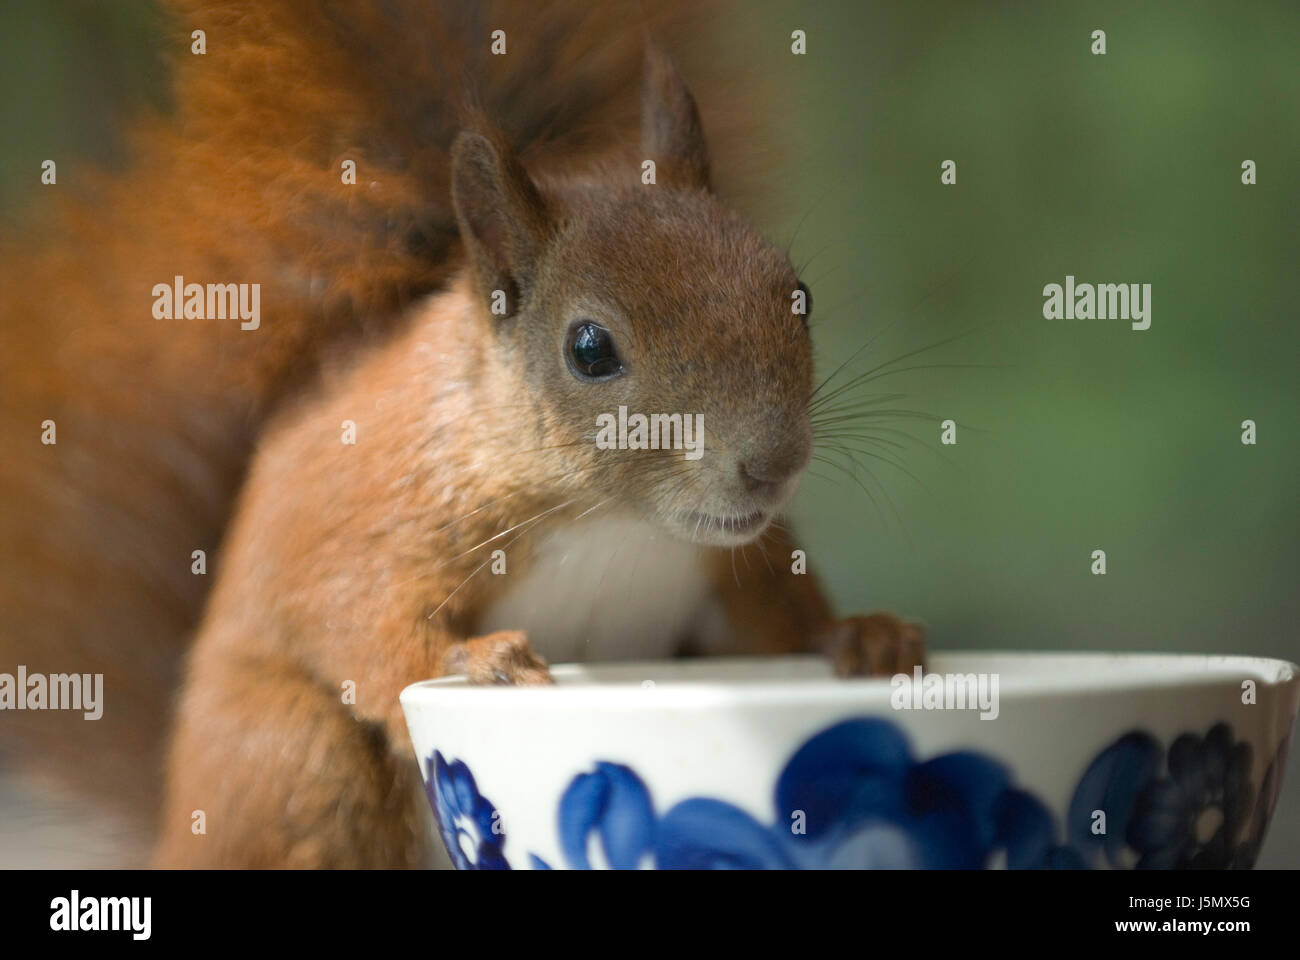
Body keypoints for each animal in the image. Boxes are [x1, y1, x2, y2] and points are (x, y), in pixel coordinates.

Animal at [0, 0, 925, 868]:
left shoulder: (730, 565)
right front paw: (481, 662)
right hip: (297, 761)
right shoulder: (387, 520)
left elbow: (777, 616)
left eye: (798, 294)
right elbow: (362, 623)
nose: (773, 464)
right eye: (590, 349)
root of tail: (173, 826)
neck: (615, 524)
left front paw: (863, 636)